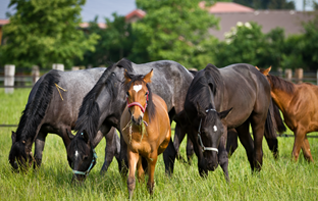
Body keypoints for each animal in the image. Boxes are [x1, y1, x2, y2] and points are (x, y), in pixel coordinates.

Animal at [66, 58, 194, 182]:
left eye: (85, 157)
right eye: (70, 157)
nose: (75, 182)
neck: (115, 92)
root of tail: (188, 73)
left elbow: (124, 158)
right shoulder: (104, 125)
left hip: (184, 120)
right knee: (170, 152)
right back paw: (168, 179)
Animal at [120, 69, 171, 198]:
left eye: (145, 93)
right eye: (128, 93)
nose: (136, 118)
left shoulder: (153, 154)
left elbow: (151, 182)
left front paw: (151, 195)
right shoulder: (132, 151)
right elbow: (131, 180)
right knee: (141, 173)